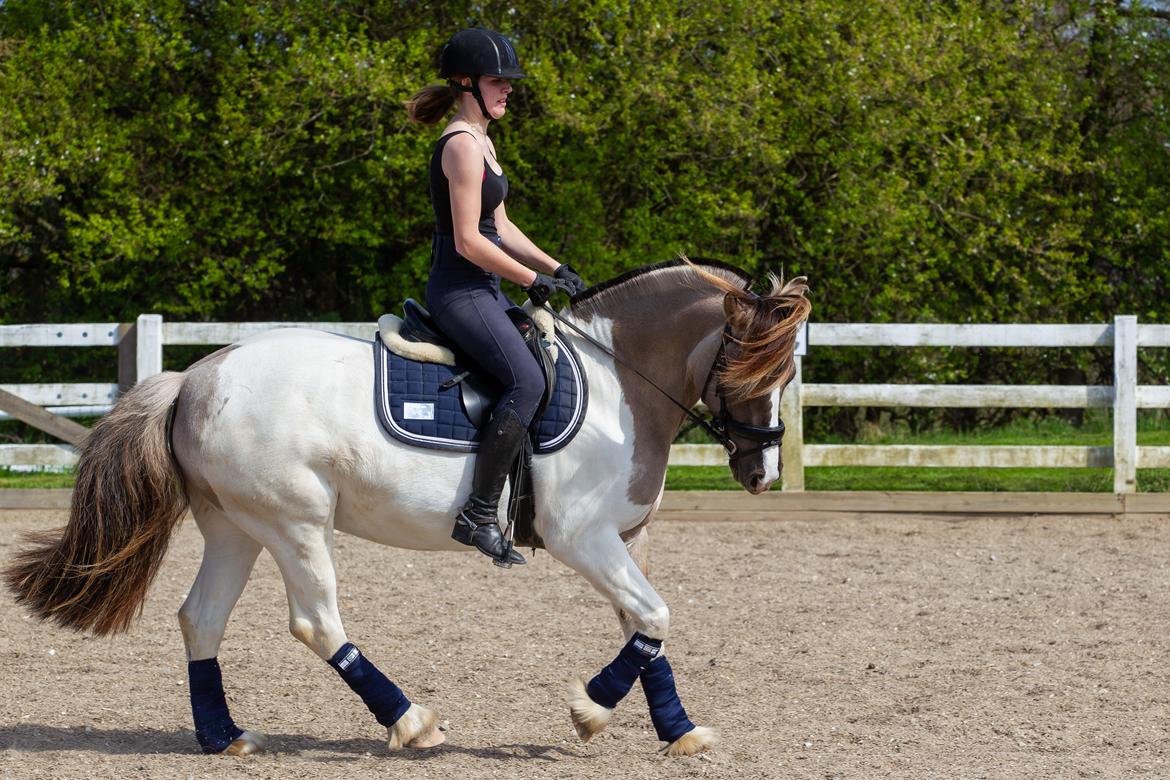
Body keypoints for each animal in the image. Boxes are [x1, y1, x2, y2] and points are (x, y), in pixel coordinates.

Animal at [6, 259, 814, 757]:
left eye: (787, 374)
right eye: (753, 368)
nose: (763, 472)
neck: (622, 385)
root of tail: (196, 376)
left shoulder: (626, 538)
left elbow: (645, 626)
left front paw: (678, 729)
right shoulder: (583, 538)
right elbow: (654, 616)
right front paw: (589, 710)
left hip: (236, 526)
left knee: (201, 618)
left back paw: (223, 736)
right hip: (295, 524)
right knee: (316, 622)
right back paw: (412, 720)